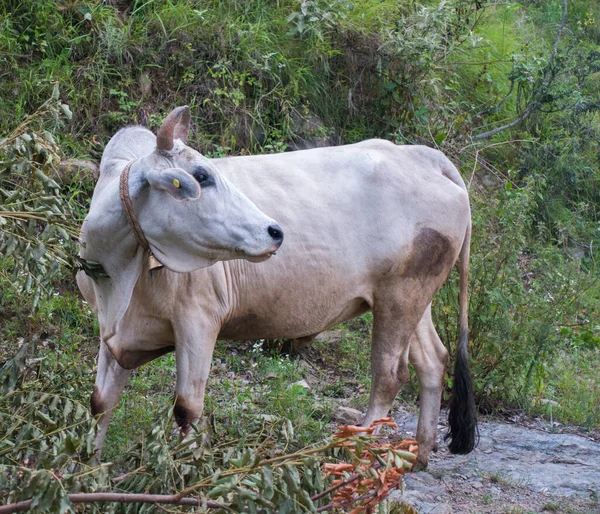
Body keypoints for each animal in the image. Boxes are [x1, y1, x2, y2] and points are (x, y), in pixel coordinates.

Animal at [77, 106, 476, 466]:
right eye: (202, 176)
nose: (275, 231)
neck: (120, 277)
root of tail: (421, 155)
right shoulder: (113, 332)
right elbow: (100, 402)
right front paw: (90, 468)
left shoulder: (198, 321)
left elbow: (187, 409)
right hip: (412, 299)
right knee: (432, 360)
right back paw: (419, 455)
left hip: (400, 297)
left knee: (389, 376)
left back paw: (359, 455)